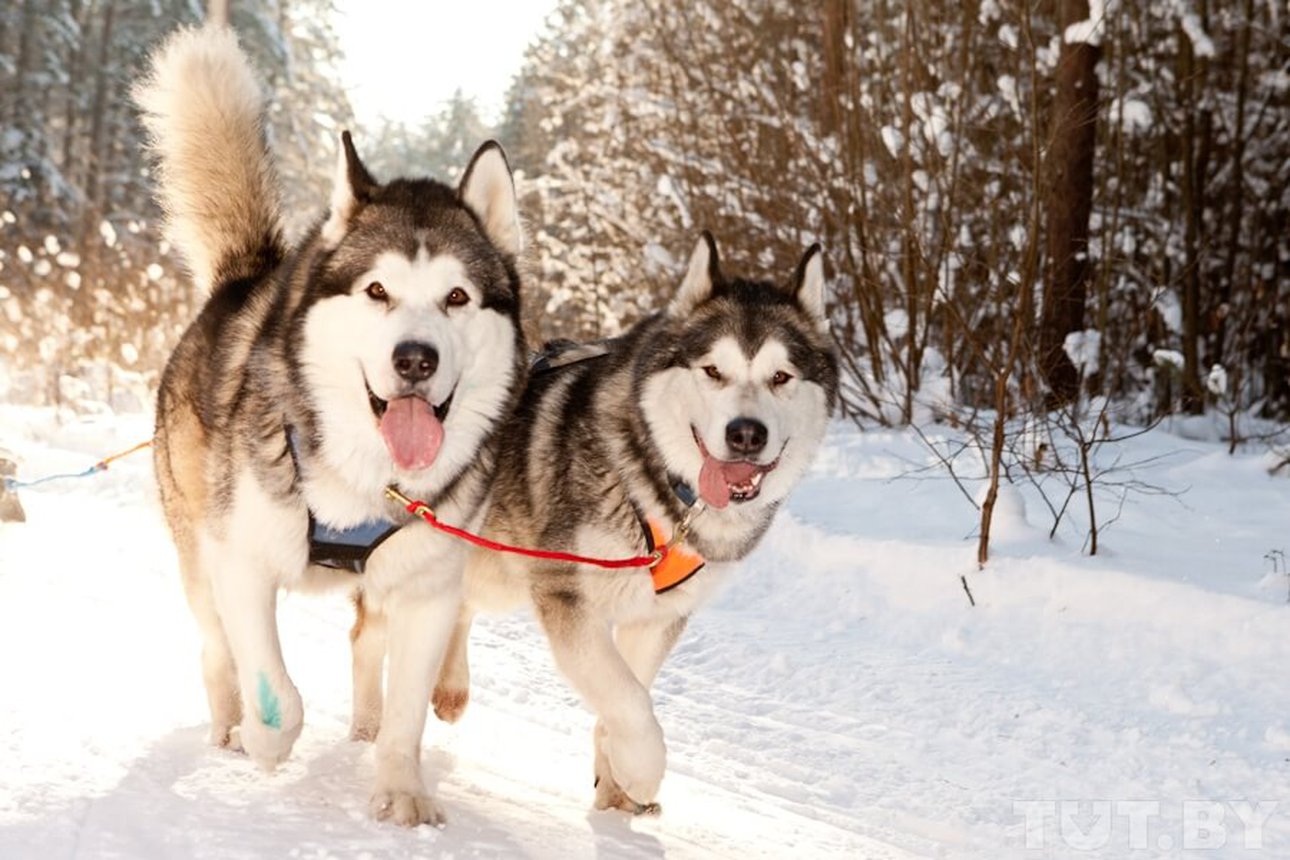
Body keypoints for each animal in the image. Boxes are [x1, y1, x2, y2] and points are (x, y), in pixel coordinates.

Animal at [134, 23, 523, 825]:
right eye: (377, 291)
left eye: (458, 297)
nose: (415, 358)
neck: (365, 475)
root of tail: (242, 281)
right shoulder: (241, 557)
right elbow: (277, 692)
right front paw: (265, 740)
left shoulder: (428, 591)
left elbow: (407, 712)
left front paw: (401, 787)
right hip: (195, 546)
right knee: (215, 646)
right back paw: (229, 721)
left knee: (364, 647)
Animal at [353, 232, 835, 820]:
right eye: (713, 371)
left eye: (781, 377)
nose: (747, 434)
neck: (661, 489)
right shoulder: (567, 595)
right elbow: (630, 701)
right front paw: (643, 771)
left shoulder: (657, 616)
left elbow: (630, 695)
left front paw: (617, 781)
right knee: (367, 634)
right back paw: (368, 727)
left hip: (494, 567)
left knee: (459, 606)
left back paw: (448, 687)